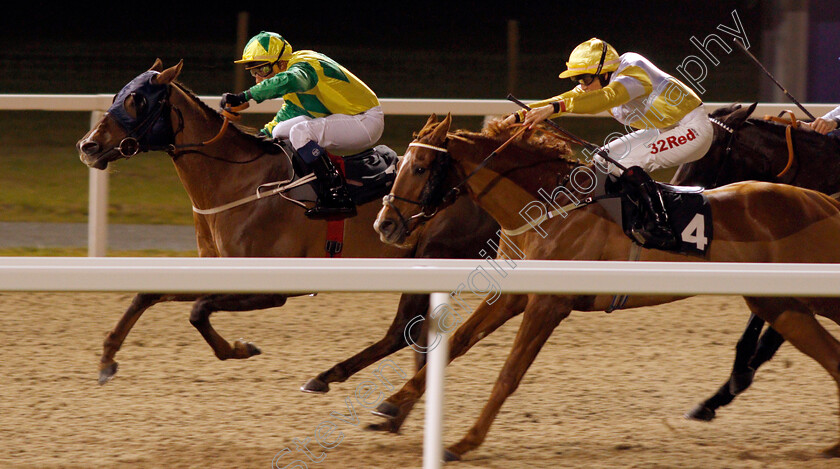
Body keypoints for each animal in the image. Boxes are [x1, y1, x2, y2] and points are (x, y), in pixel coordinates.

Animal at [74, 58, 498, 420]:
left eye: (137, 100)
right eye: (116, 96)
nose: (87, 146)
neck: (239, 181)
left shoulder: (273, 287)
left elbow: (198, 311)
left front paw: (238, 349)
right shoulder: (218, 267)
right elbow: (148, 294)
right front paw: (107, 359)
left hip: (436, 252)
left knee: (404, 330)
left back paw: (354, 390)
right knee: (408, 333)